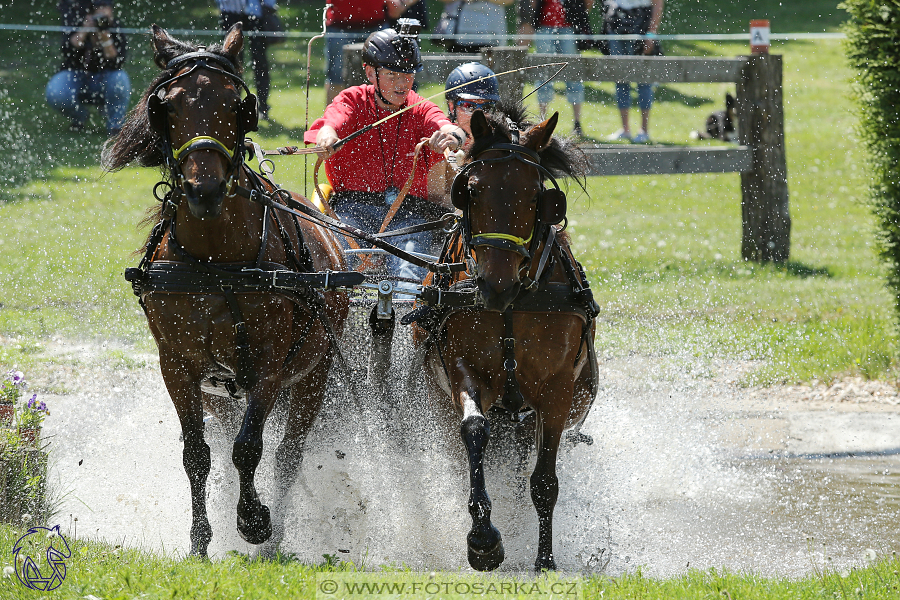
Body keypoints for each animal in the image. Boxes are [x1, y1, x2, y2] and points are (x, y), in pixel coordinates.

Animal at [101, 23, 348, 556]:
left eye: (237, 103)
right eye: (167, 105)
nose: (205, 190)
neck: (217, 261)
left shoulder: (271, 363)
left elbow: (250, 448)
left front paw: (254, 520)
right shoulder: (177, 365)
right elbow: (198, 453)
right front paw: (199, 541)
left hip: (312, 376)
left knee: (288, 454)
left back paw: (275, 537)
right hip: (221, 392)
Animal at [412, 106, 600, 572]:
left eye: (536, 195)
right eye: (471, 190)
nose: (495, 286)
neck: (512, 307)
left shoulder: (556, 392)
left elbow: (544, 481)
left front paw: (545, 560)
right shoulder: (464, 372)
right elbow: (474, 431)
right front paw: (483, 539)